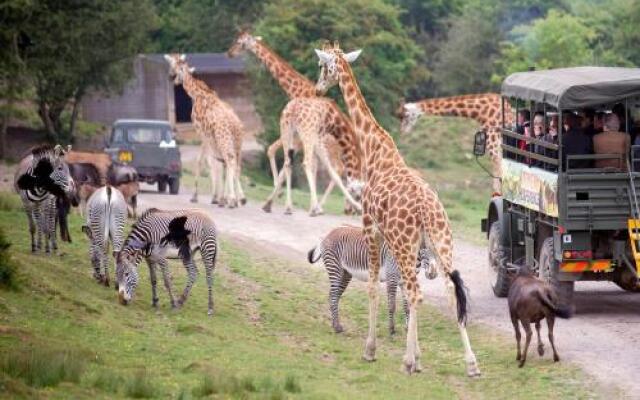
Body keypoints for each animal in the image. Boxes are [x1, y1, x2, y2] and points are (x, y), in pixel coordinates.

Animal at [164, 54, 246, 208]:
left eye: (173, 66)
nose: (171, 77)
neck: (197, 94)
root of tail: (236, 124)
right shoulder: (211, 138)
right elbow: (217, 163)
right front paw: (219, 198)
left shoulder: (202, 134)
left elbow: (202, 161)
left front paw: (197, 197)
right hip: (237, 144)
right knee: (235, 165)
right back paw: (239, 198)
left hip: (224, 140)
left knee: (230, 161)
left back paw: (233, 200)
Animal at [228, 32, 362, 216]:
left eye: (240, 43)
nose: (229, 53)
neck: (298, 90)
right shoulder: (300, 138)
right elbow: (284, 158)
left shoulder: (301, 138)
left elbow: (280, 156)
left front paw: (279, 197)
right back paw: (348, 207)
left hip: (331, 149)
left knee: (339, 169)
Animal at [304, 225, 436, 334]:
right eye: (425, 247)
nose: (433, 274)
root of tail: (329, 233)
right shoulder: (392, 278)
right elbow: (392, 305)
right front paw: (391, 329)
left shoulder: (404, 282)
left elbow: (407, 306)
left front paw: (408, 328)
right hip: (335, 268)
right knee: (332, 295)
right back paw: (337, 327)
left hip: (345, 273)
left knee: (334, 296)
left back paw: (335, 325)